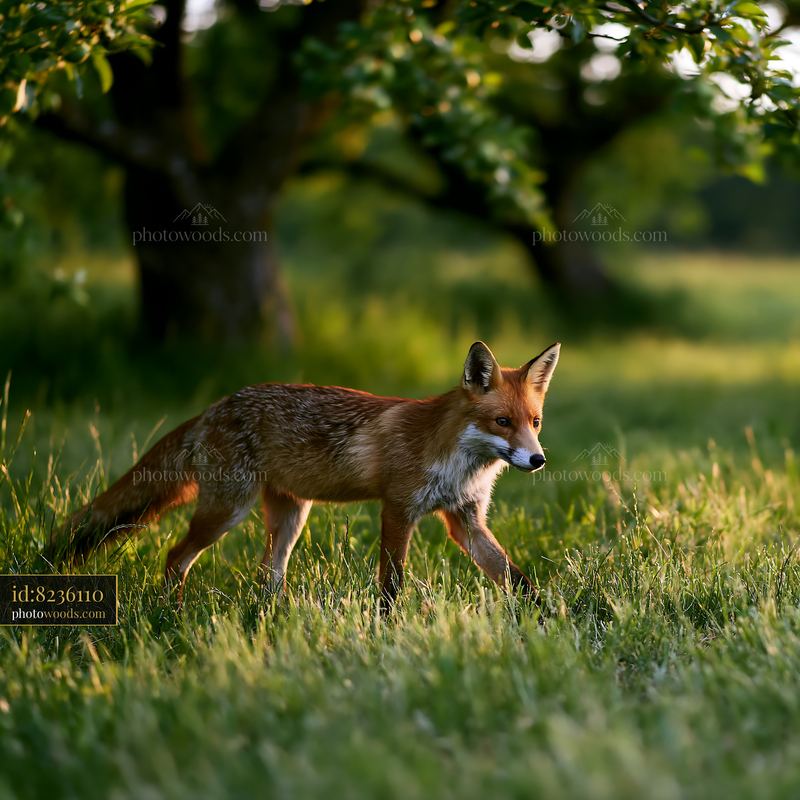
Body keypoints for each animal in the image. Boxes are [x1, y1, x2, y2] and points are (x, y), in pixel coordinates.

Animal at [52, 341, 560, 610]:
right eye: (502, 422)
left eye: (535, 422)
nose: (537, 460)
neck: (459, 462)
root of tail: (215, 406)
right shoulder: (398, 509)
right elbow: (391, 584)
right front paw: (386, 628)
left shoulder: (466, 520)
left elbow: (516, 578)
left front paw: (551, 619)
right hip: (226, 511)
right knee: (175, 557)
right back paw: (173, 615)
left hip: (291, 518)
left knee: (266, 576)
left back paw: (268, 620)